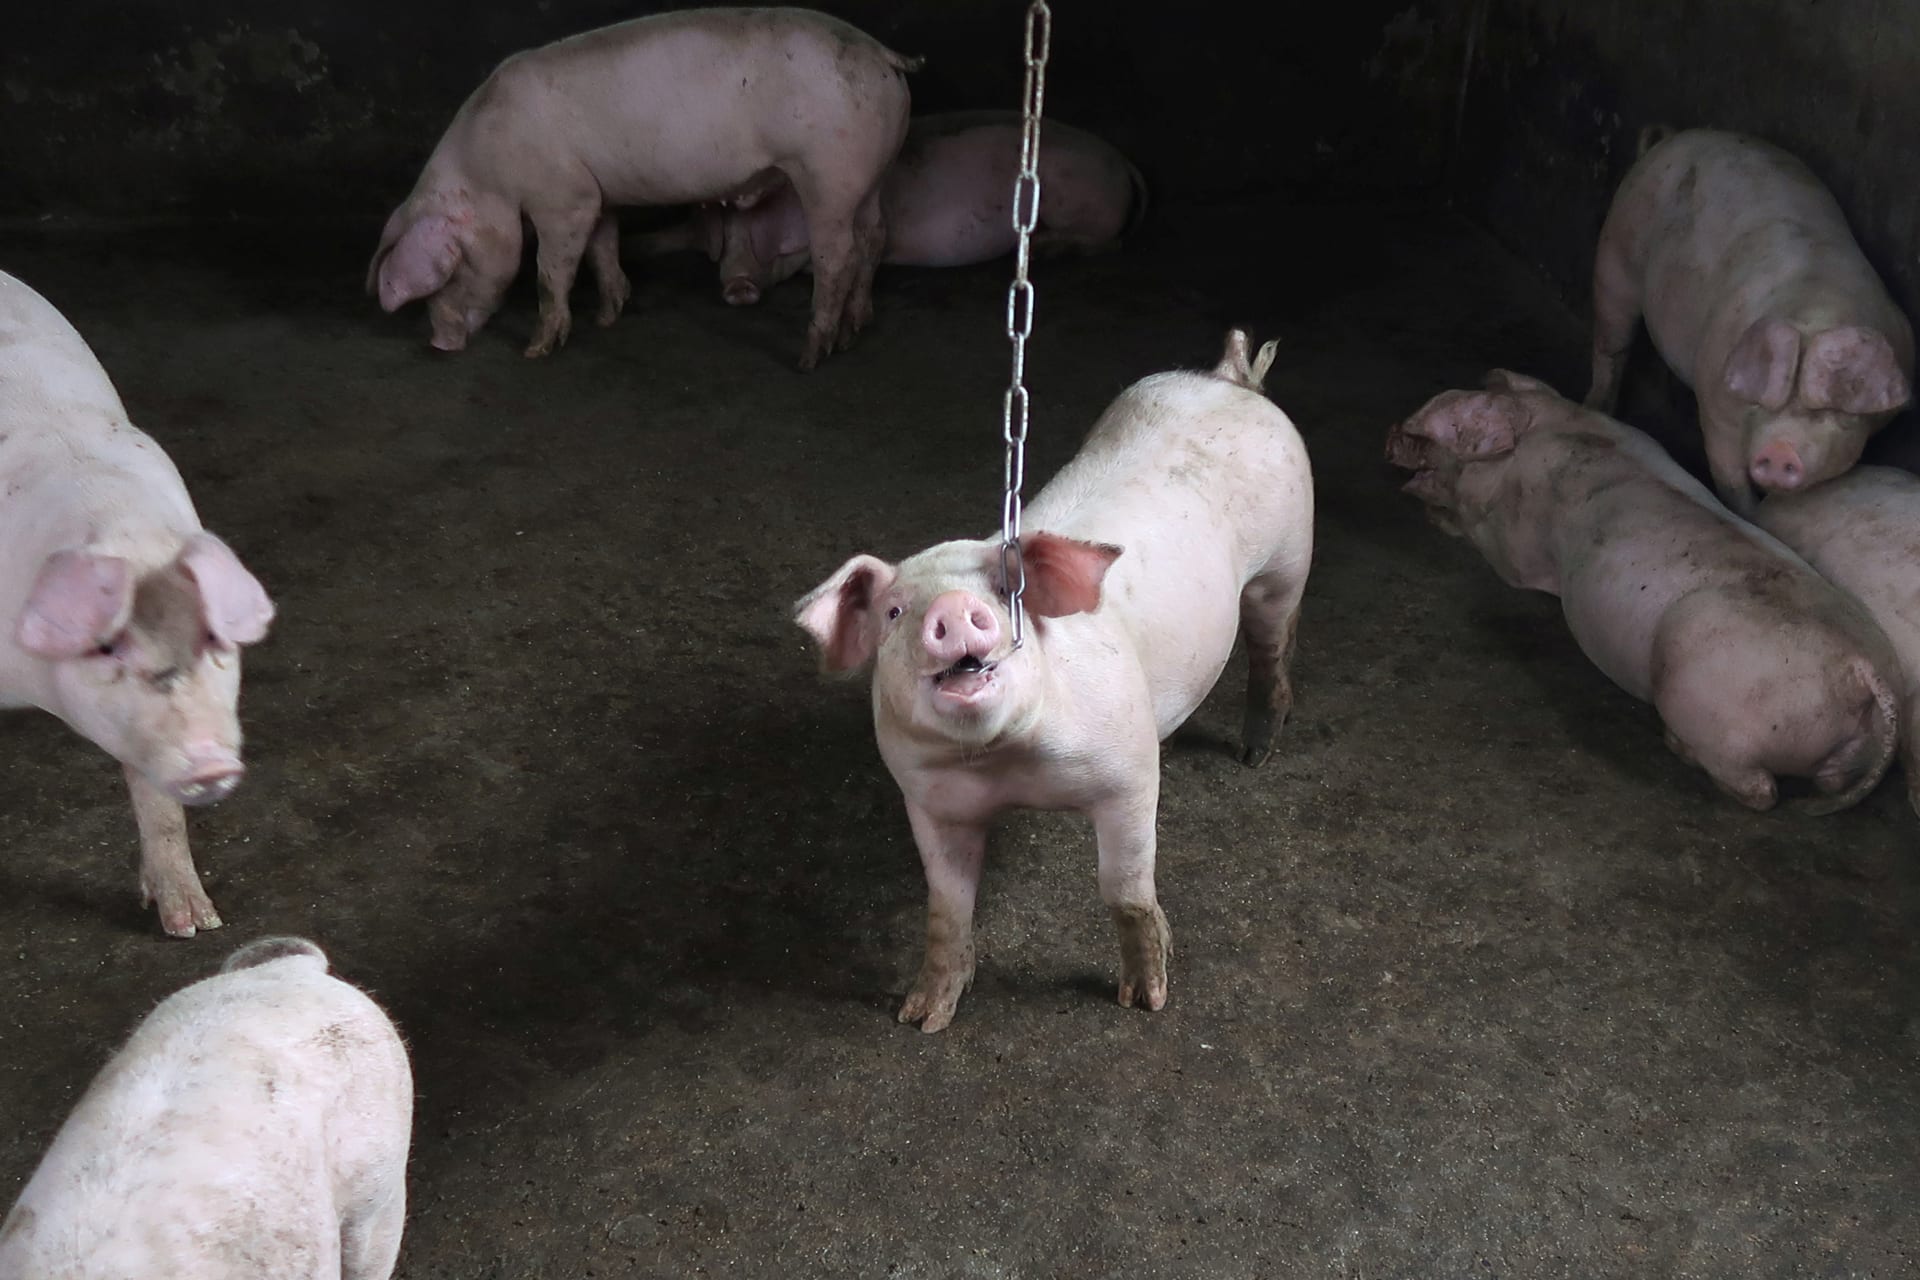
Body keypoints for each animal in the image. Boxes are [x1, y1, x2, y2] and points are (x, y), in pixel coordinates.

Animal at [365, 7, 920, 369]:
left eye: (449, 276)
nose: (437, 343)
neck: (488, 170)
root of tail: (882, 53)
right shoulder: (597, 194)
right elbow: (603, 249)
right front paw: (608, 318)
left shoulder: (563, 196)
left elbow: (549, 272)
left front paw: (536, 350)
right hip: (872, 174)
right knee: (875, 237)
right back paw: (854, 333)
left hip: (829, 171)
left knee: (838, 255)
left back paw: (810, 357)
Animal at [638, 110, 1148, 306]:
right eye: (727, 234)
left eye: (769, 238)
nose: (738, 288)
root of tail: (1122, 160)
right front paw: (643, 244)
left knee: (1112, 243)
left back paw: (1044, 249)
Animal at [794, 331, 1313, 1032]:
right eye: (895, 612)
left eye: (1005, 591)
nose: (950, 608)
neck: (1008, 764)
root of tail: (1230, 380)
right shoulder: (928, 797)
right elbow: (947, 906)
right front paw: (921, 1017)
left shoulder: (1127, 775)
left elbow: (1125, 892)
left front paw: (1146, 1000)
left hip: (1286, 562)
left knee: (1271, 646)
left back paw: (1255, 754)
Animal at [1388, 370, 1900, 811]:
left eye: (1439, 430)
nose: (1390, 434)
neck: (1552, 427)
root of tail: (1860, 668)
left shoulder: (1515, 546)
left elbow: (1489, 549)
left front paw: (1435, 516)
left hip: (1719, 711)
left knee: (1759, 790)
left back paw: (1677, 746)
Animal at [1585, 127, 1915, 513]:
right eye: (1761, 402)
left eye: (1837, 411)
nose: (1779, 451)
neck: (1815, 308)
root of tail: (1669, 139)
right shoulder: (1715, 400)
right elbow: (1728, 475)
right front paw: (1749, 513)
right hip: (1617, 251)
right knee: (1611, 344)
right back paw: (1595, 407)